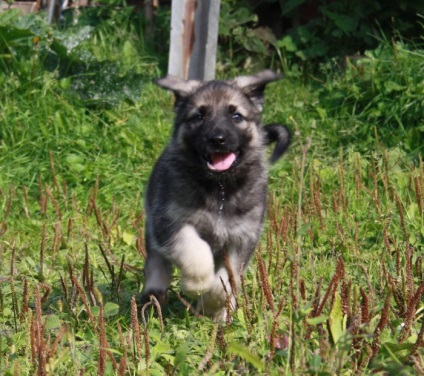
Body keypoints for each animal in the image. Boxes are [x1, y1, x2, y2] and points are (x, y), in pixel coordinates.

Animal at [141, 70, 290, 320]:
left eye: (236, 116)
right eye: (198, 116)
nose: (217, 139)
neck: (219, 188)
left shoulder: (241, 239)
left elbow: (227, 281)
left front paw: (212, 306)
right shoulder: (171, 222)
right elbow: (194, 250)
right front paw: (197, 284)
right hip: (155, 232)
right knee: (156, 265)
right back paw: (152, 299)